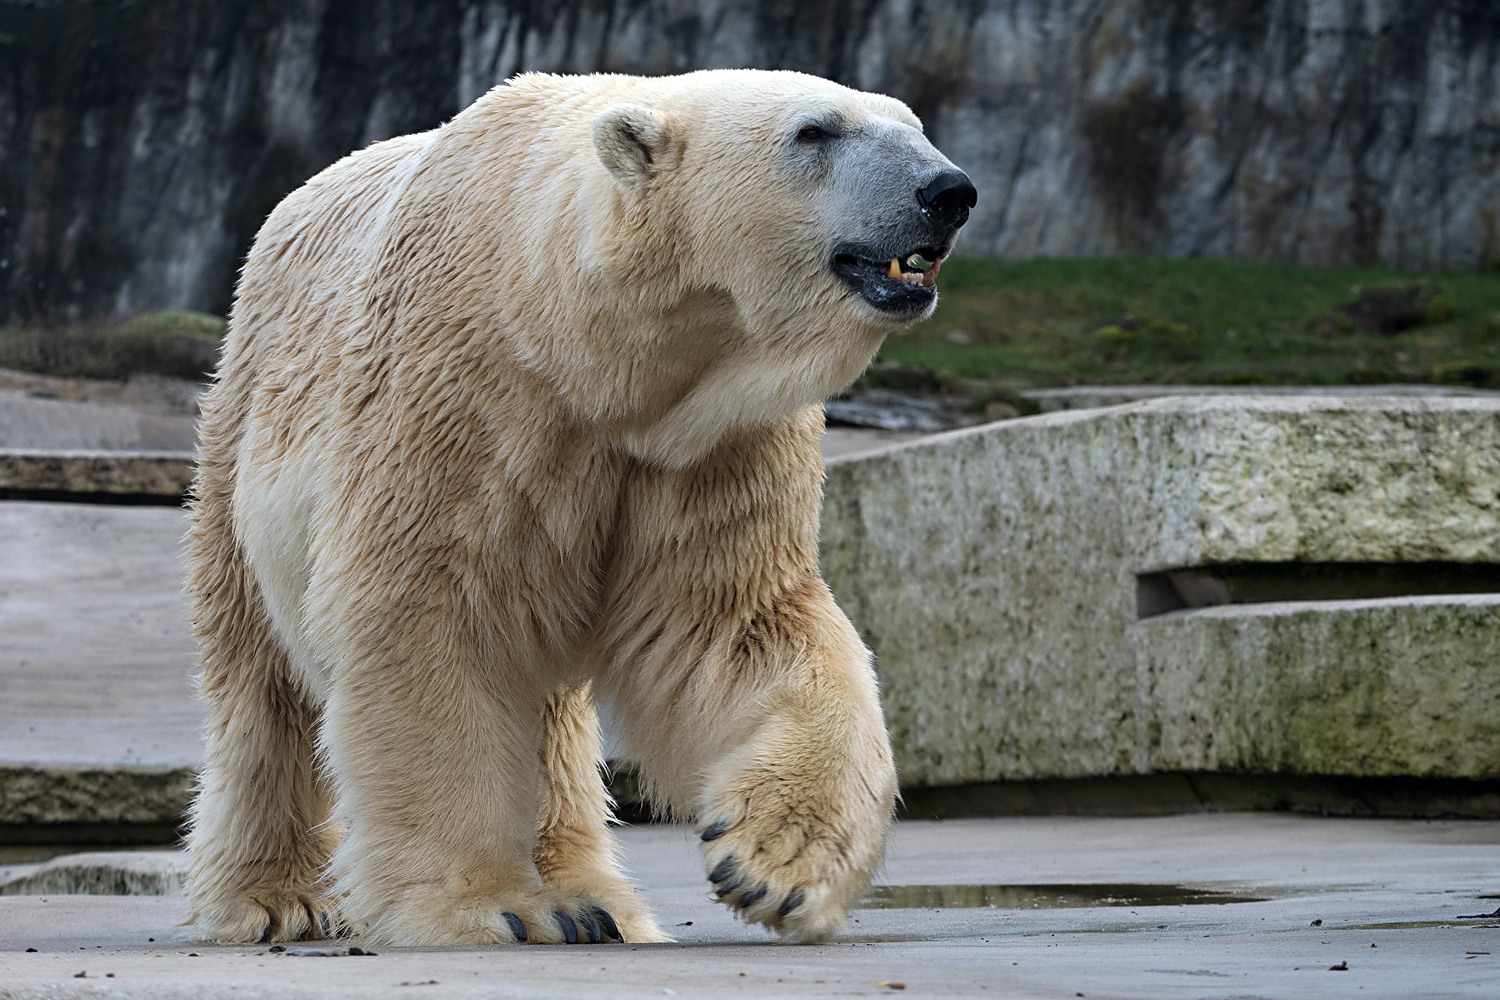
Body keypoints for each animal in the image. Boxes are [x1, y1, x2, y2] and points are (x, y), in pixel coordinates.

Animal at [184, 68, 972, 947]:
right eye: (815, 131)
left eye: (913, 124)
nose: (948, 191)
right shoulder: (466, 400)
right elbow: (427, 613)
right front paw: (496, 905)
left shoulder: (707, 443)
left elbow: (739, 621)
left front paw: (775, 866)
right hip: (242, 429)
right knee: (260, 682)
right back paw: (275, 897)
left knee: (552, 718)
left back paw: (602, 900)